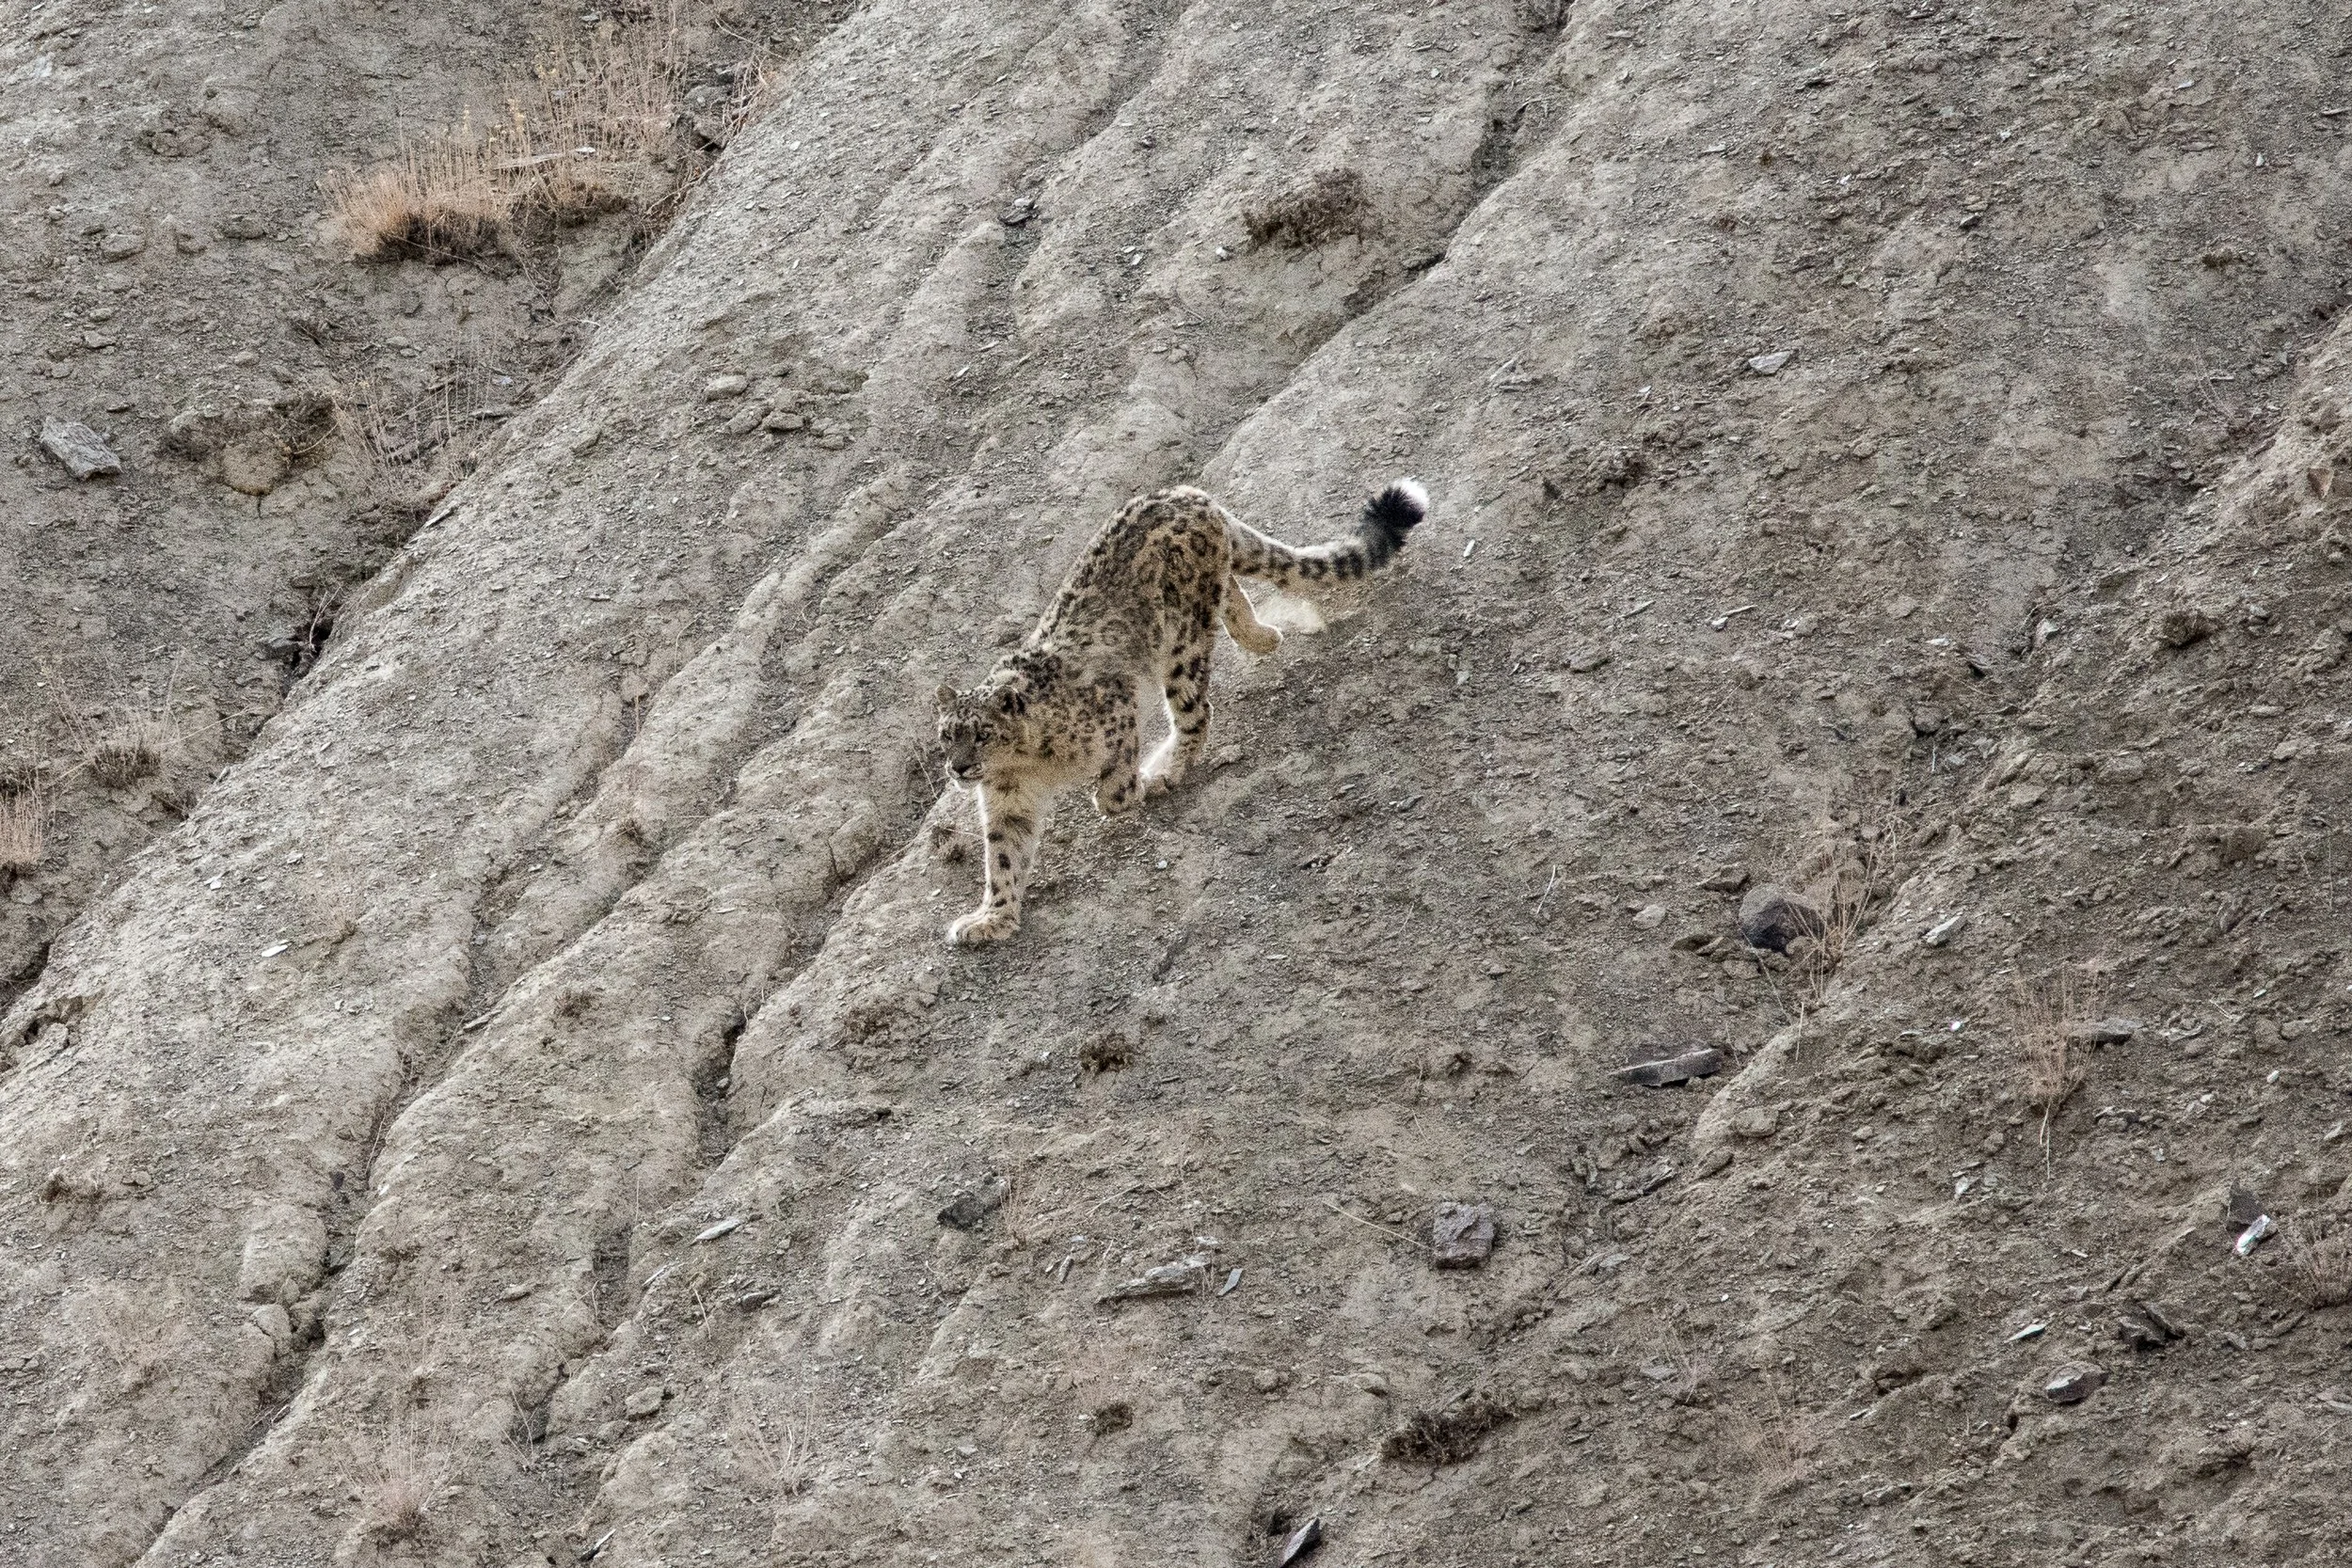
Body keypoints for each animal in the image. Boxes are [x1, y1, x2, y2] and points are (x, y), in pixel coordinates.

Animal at [933, 476, 1426, 945]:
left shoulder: (1116, 709)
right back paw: (1262, 636)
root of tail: (1190, 495)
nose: (958, 769)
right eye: (947, 735)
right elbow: (1004, 855)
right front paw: (991, 919)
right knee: (1232, 590)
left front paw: (1134, 787)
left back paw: (1165, 770)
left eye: (982, 733)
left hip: (1182, 648)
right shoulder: (1007, 797)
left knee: (1196, 711)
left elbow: (1113, 791)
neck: (1026, 764)